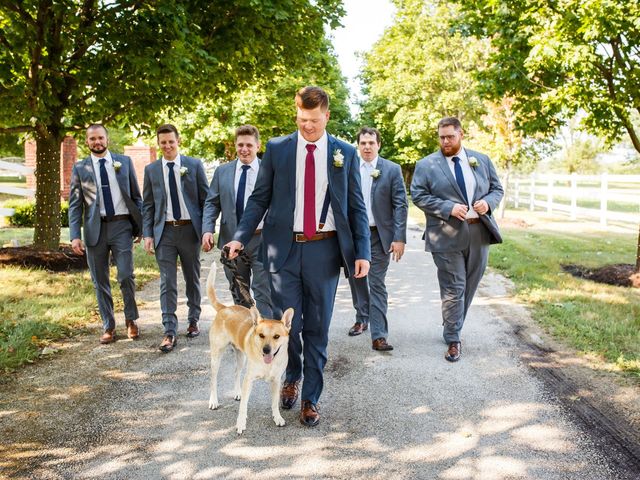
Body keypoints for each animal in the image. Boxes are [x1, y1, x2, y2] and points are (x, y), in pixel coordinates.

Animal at [206, 262, 294, 436]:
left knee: (236, 372)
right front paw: (240, 424)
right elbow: (243, 407)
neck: (268, 363)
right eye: (261, 335)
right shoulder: (249, 380)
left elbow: (274, 403)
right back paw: (213, 401)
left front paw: (277, 418)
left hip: (241, 358)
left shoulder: (276, 381)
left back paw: (237, 392)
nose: (266, 350)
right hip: (216, 357)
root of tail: (224, 308)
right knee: (213, 380)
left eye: (276, 336)